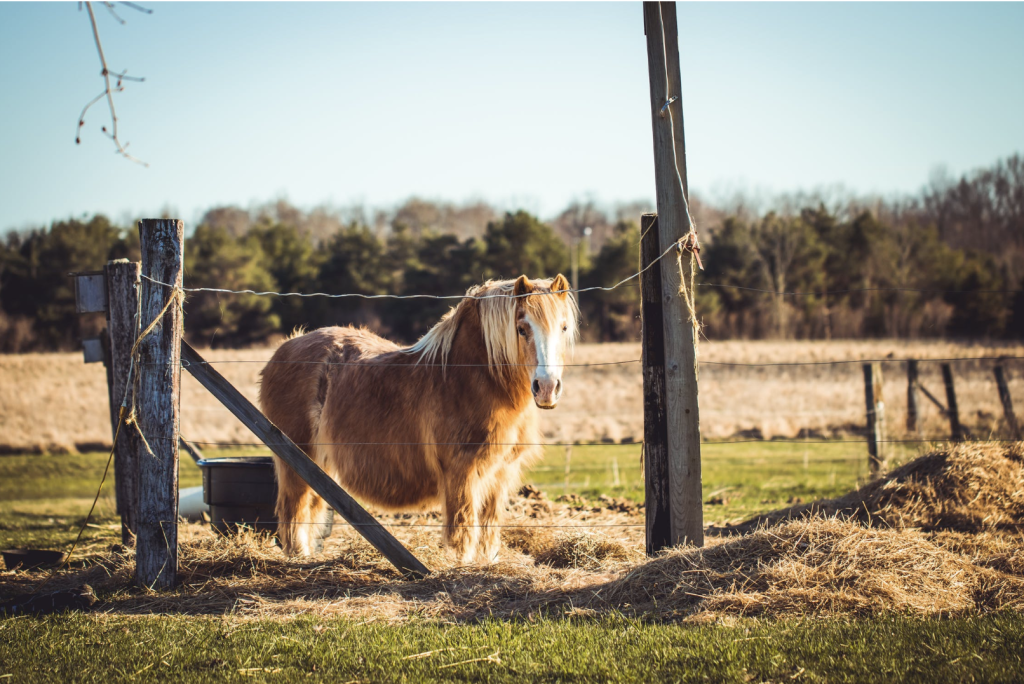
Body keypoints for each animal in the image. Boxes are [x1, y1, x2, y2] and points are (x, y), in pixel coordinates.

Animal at [260, 274, 581, 565]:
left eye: (563, 327)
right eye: (521, 328)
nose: (547, 387)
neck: (467, 377)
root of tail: (285, 347)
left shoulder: (501, 473)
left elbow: (489, 529)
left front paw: (486, 565)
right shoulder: (461, 473)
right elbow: (462, 529)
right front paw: (460, 566)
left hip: (318, 464)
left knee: (310, 508)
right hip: (296, 459)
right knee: (293, 509)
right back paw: (299, 558)